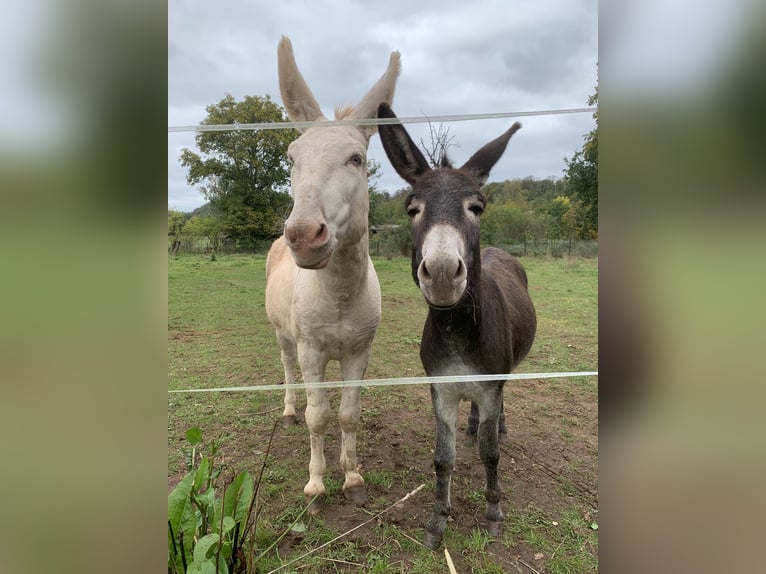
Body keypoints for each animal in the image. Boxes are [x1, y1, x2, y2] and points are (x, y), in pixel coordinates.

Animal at [264, 38, 400, 513]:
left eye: (356, 159)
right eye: (291, 158)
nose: (304, 236)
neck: (339, 292)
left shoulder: (359, 351)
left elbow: (348, 414)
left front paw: (353, 478)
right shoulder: (313, 352)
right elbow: (318, 416)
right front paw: (316, 484)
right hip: (284, 336)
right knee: (286, 368)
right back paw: (288, 411)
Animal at [376, 102, 537, 549]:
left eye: (476, 208)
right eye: (412, 209)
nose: (444, 273)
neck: (457, 331)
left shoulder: (490, 384)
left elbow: (490, 454)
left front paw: (494, 512)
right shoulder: (442, 390)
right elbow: (442, 458)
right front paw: (437, 520)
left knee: (496, 415)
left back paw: (496, 427)